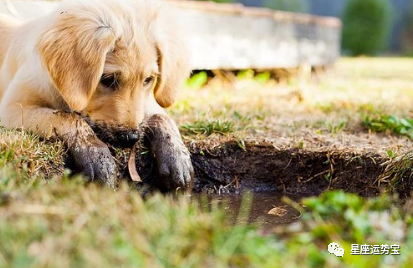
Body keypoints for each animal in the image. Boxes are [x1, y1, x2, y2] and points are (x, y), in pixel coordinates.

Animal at [0, 0, 193, 189]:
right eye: (108, 79)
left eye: (148, 80)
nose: (131, 139)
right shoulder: (12, 108)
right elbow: (67, 118)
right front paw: (96, 156)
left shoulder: (146, 103)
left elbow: (162, 117)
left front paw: (177, 157)